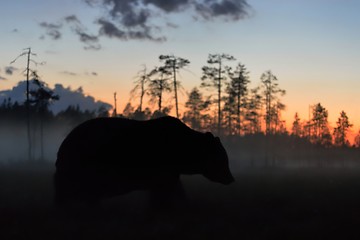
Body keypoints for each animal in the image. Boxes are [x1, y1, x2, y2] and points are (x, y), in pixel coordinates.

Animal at [53, 116, 233, 206]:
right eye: (224, 159)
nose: (231, 178)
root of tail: (63, 144)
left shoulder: (171, 171)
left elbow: (176, 189)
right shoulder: (162, 166)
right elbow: (161, 193)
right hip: (84, 164)